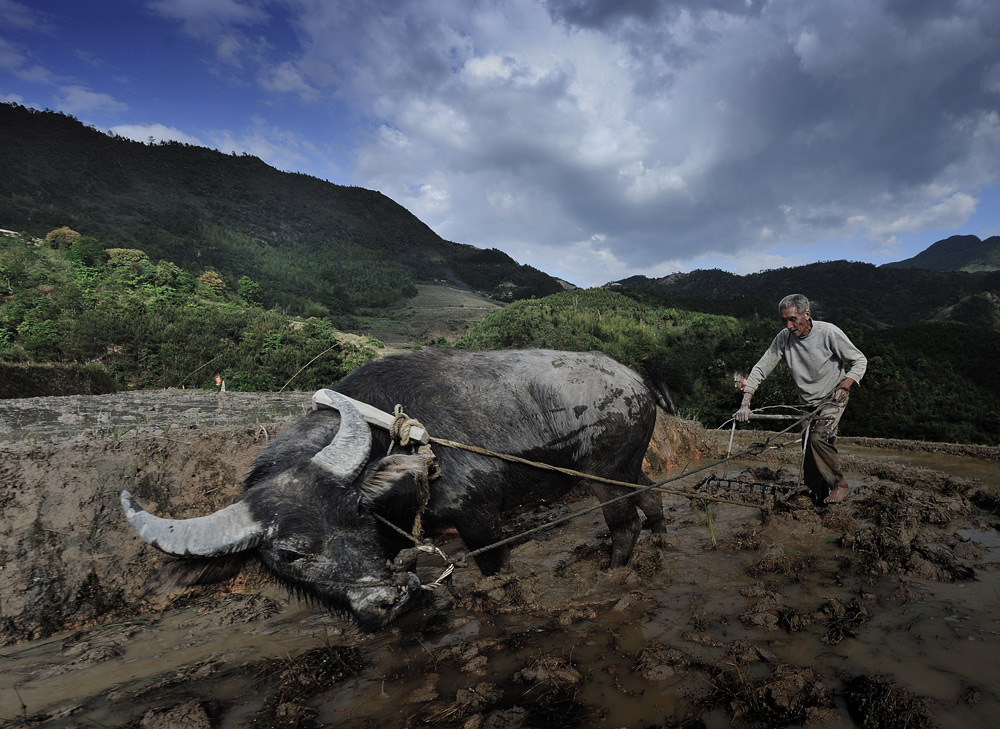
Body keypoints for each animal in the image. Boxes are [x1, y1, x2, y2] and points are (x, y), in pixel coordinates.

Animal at [121, 346, 664, 624]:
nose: (386, 599)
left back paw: (616, 571)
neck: (395, 441)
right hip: (629, 466)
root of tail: (637, 380)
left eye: (357, 511)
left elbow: (495, 573)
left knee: (624, 523)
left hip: (606, 474)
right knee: (654, 494)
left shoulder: (479, 517)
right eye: (288, 554)